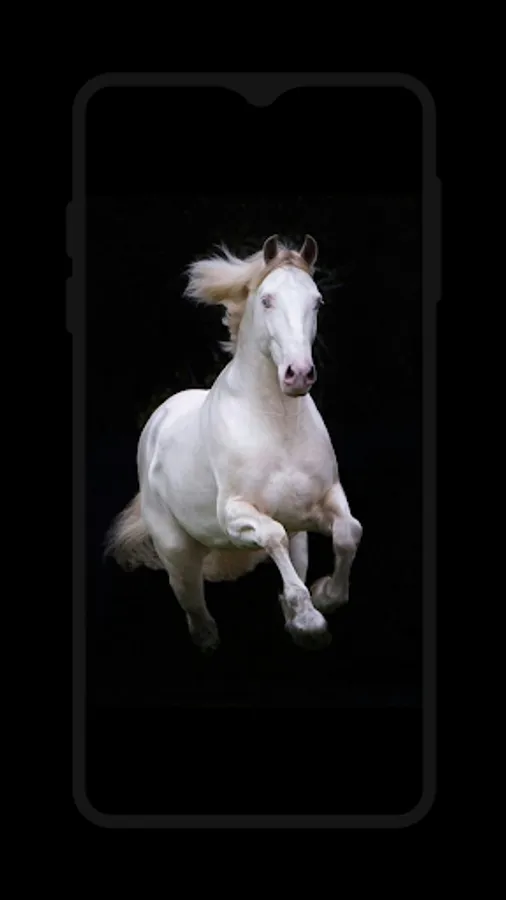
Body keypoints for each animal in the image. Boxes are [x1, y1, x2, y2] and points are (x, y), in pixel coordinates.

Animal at [106, 234, 363, 652]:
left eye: (317, 302)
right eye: (267, 299)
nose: (298, 374)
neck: (277, 425)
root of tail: (159, 418)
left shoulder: (321, 503)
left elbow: (348, 532)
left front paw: (326, 597)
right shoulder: (235, 514)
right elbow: (272, 535)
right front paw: (310, 619)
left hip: (299, 539)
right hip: (176, 548)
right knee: (190, 594)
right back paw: (208, 638)